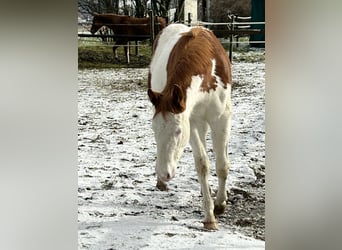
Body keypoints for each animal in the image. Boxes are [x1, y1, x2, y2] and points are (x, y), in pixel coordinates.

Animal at [147, 23, 232, 230]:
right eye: (154, 130)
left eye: (178, 131)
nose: (164, 173)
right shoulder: (190, 121)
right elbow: (202, 164)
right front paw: (209, 216)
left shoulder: (221, 119)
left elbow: (222, 165)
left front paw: (220, 203)